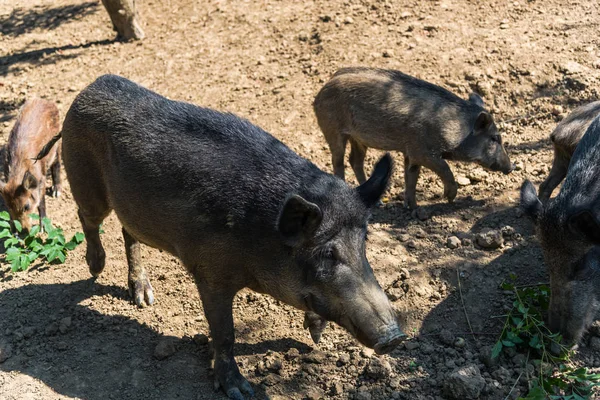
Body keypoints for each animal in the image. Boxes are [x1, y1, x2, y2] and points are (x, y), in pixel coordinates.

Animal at [0, 97, 61, 233]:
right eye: (9, 206)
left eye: (26, 206)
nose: (22, 232)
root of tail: (46, 101)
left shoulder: (41, 180)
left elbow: (41, 203)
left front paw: (42, 230)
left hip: (56, 144)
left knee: (57, 164)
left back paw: (56, 192)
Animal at [56, 76, 406, 400]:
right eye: (327, 254)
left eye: (364, 243)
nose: (395, 337)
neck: (261, 233)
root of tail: (90, 87)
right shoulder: (210, 273)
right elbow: (225, 333)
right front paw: (240, 390)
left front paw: (316, 338)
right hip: (85, 181)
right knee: (87, 218)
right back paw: (96, 267)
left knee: (128, 232)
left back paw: (144, 298)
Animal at [312, 67, 512, 208]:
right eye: (494, 138)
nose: (512, 167)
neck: (457, 129)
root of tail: (322, 89)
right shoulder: (422, 151)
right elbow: (444, 168)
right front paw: (449, 199)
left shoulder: (410, 153)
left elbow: (411, 176)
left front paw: (413, 208)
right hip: (332, 129)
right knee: (338, 161)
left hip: (359, 139)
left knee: (355, 160)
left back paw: (379, 203)